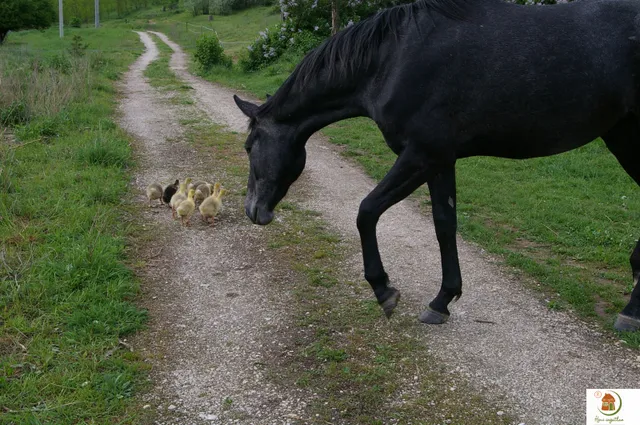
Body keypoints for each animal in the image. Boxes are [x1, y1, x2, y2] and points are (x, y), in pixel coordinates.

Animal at [234, 0, 640, 332]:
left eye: (250, 146)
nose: (253, 210)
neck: (393, 59)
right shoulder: (441, 161)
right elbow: (444, 225)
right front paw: (443, 300)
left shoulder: (421, 156)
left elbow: (366, 212)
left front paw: (383, 290)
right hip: (621, 137)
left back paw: (631, 311)